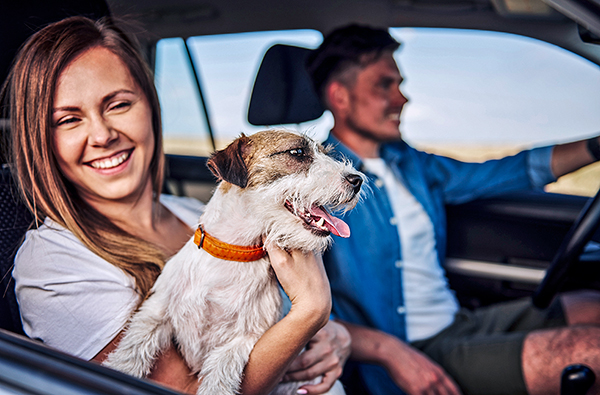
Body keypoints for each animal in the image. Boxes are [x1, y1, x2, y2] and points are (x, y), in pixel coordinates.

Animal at [105, 131, 364, 395]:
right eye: (297, 153)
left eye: (324, 152)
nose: (357, 180)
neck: (232, 254)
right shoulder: (156, 311)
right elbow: (133, 347)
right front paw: (120, 368)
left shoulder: (242, 340)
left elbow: (219, 377)